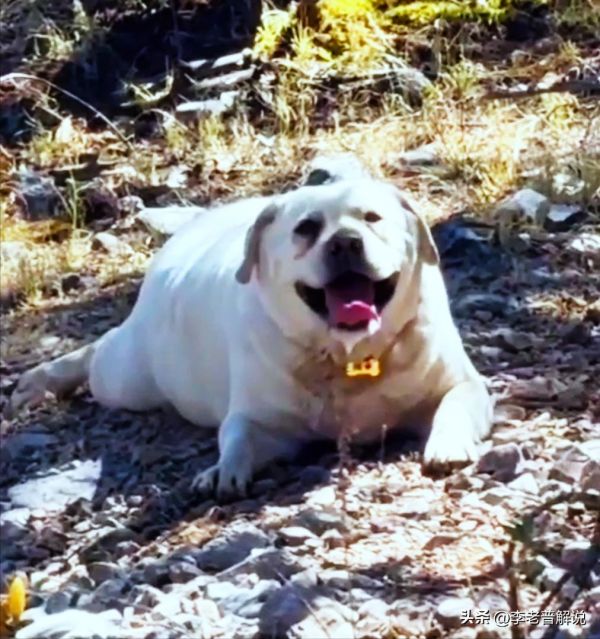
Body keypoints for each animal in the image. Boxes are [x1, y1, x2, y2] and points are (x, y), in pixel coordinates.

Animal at [9, 177, 493, 500]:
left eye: (373, 219)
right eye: (306, 228)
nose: (345, 242)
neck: (346, 356)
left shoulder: (465, 387)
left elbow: (454, 404)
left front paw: (447, 444)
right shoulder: (263, 423)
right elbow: (238, 436)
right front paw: (222, 472)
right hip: (127, 377)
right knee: (98, 353)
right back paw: (42, 381)